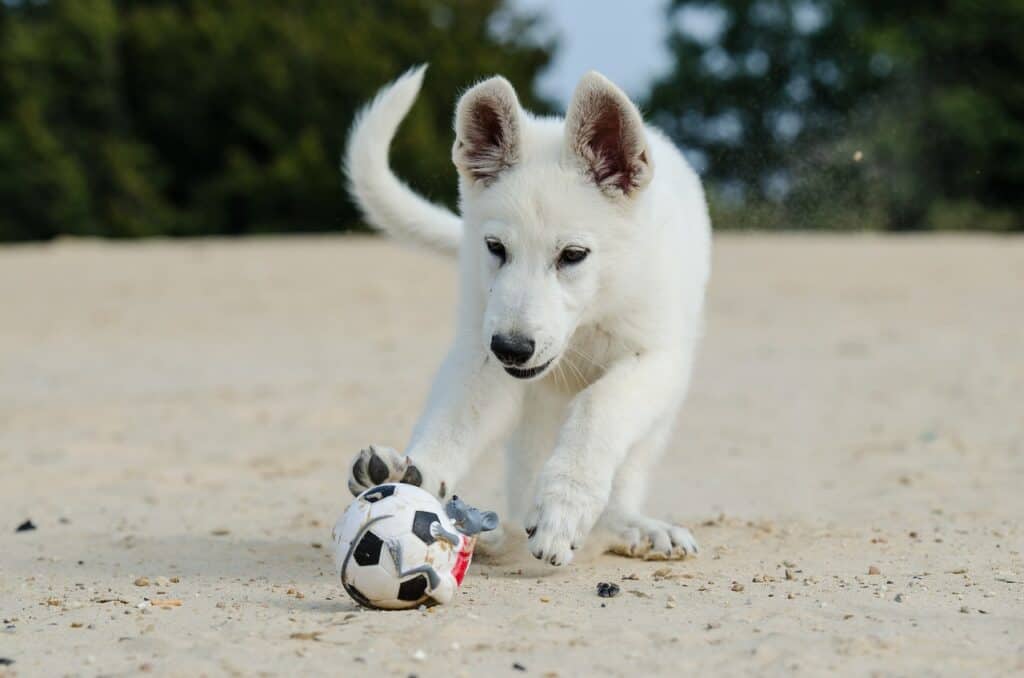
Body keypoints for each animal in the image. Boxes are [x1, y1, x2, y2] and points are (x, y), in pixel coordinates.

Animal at [339, 65, 708, 569]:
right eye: (496, 248)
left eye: (573, 255)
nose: (512, 348)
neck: (589, 316)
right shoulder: (482, 356)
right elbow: (452, 422)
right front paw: (414, 476)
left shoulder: (655, 357)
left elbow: (599, 409)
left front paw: (564, 505)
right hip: (532, 405)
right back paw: (498, 535)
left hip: (656, 416)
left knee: (626, 470)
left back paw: (629, 526)